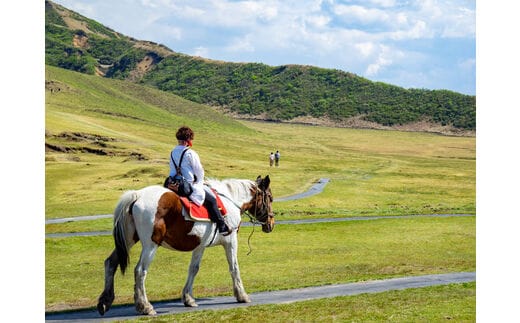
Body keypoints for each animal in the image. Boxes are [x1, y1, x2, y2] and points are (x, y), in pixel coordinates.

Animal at [98, 176, 276, 316]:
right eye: (270, 198)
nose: (271, 223)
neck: (230, 201)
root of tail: (137, 195)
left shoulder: (200, 246)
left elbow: (193, 269)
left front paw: (188, 298)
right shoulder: (231, 241)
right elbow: (234, 268)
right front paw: (242, 295)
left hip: (128, 240)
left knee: (110, 263)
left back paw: (105, 301)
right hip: (150, 245)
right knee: (140, 271)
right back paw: (145, 306)